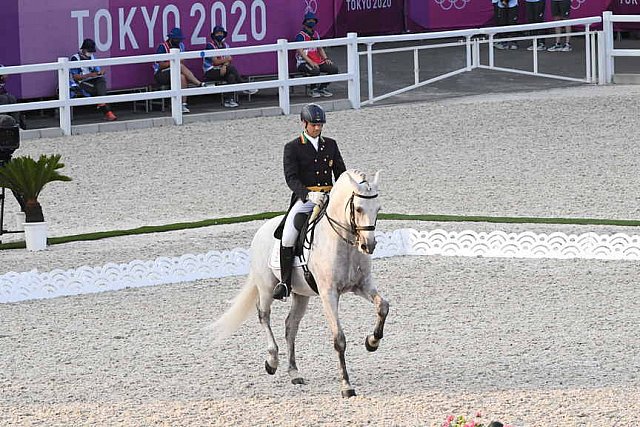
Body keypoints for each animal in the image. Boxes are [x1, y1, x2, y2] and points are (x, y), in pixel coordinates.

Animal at [211, 171, 390, 398]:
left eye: (378, 208)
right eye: (358, 208)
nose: (369, 245)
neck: (343, 241)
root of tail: (261, 230)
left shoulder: (362, 285)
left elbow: (383, 306)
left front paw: (372, 342)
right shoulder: (329, 294)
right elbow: (339, 339)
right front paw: (346, 386)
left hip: (301, 294)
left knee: (290, 326)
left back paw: (294, 372)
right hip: (267, 288)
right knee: (264, 315)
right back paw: (272, 361)